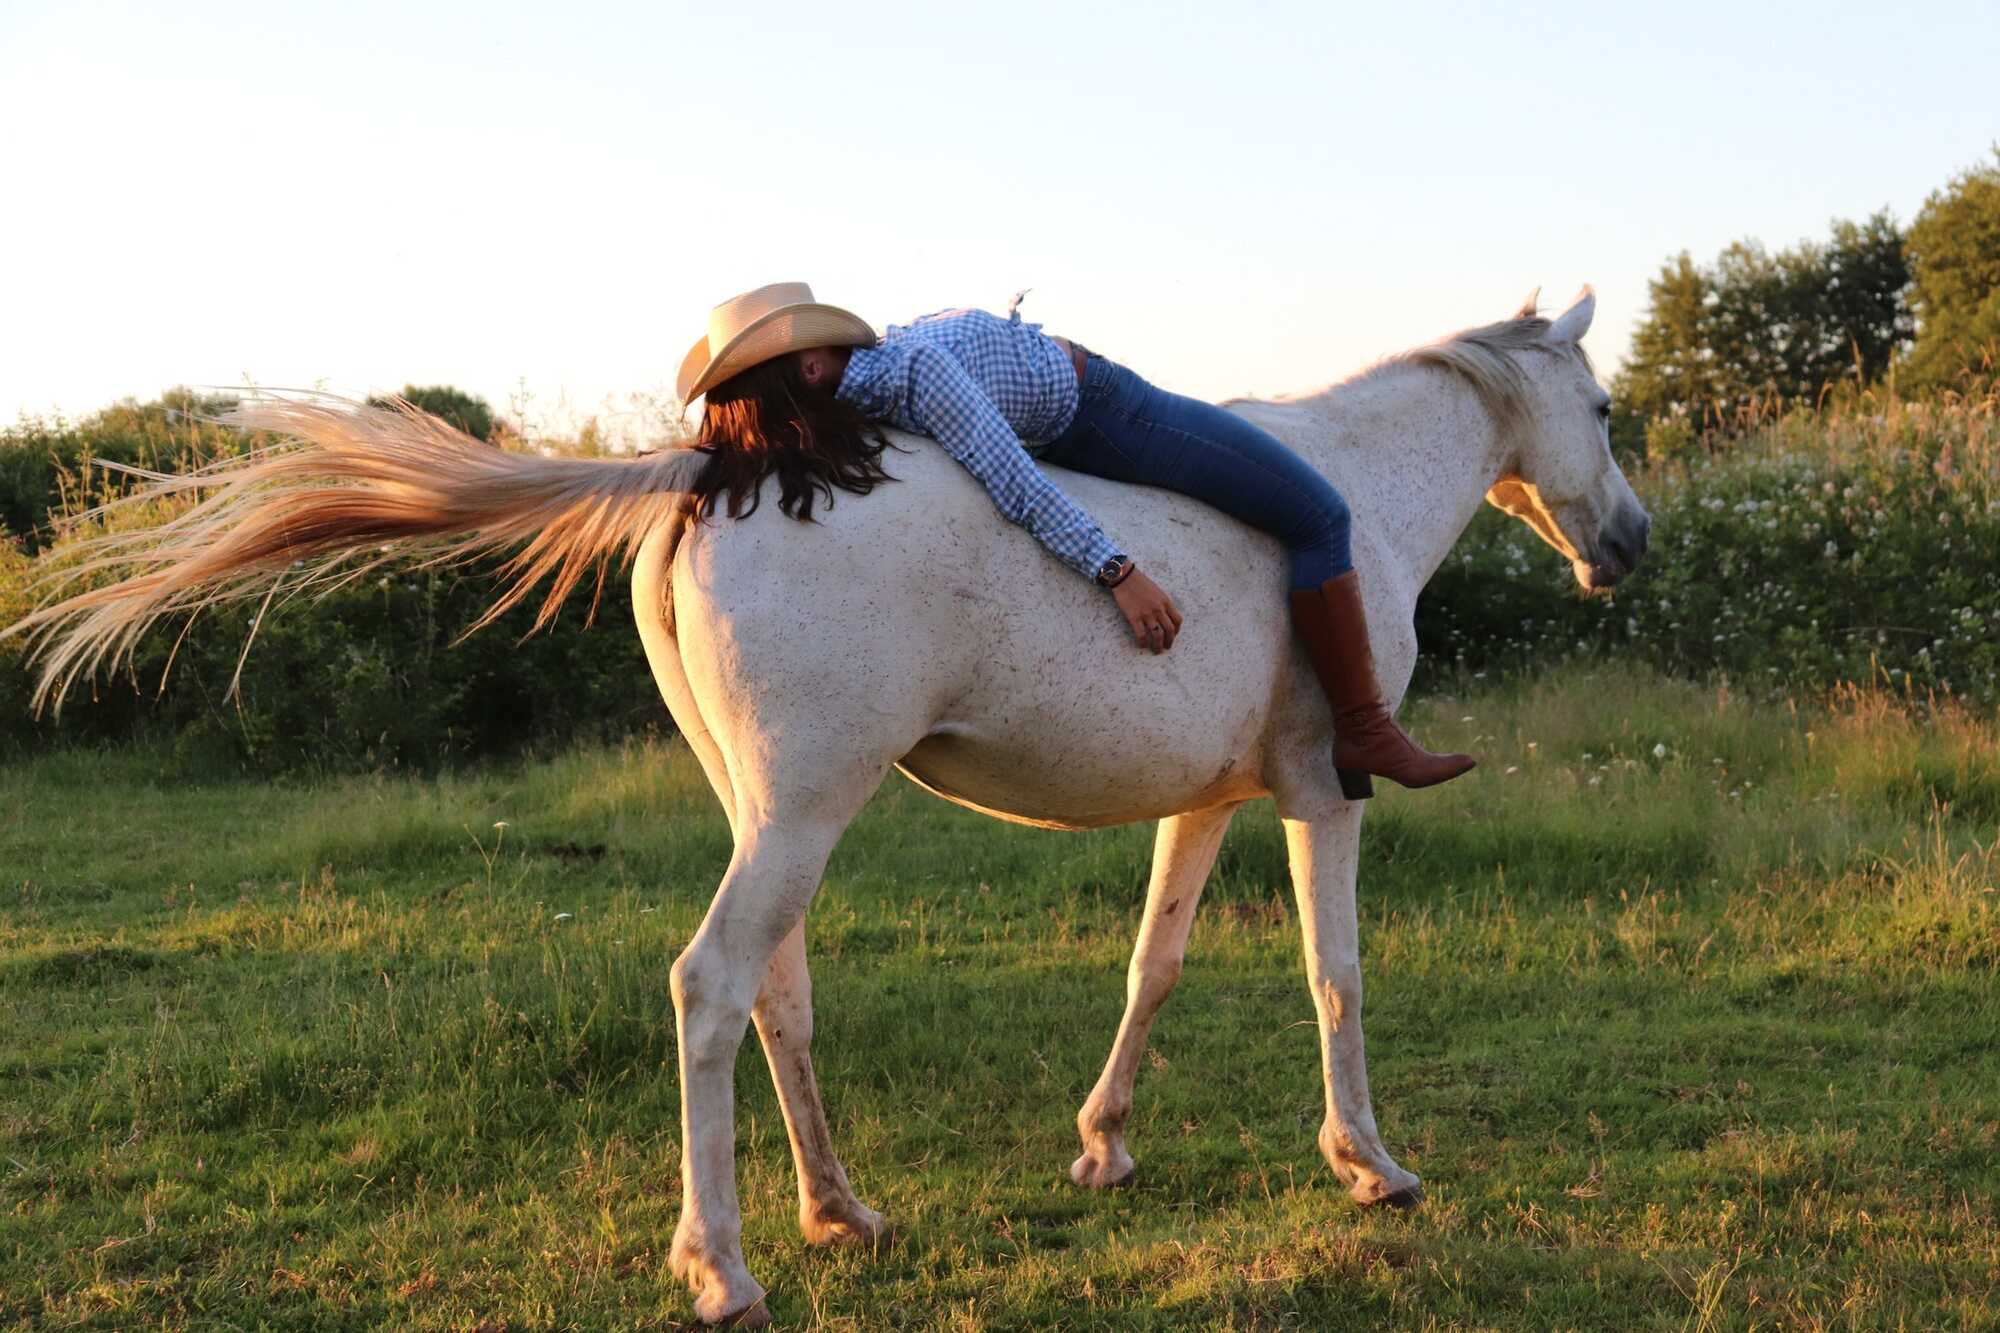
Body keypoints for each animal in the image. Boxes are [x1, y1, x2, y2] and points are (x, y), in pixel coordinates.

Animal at [10, 287, 1647, 1326]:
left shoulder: (1212, 802)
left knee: (776, 997)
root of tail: (714, 473)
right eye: (1606, 404)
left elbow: (1156, 962)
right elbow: (1337, 974)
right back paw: (722, 1270)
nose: (1627, 543)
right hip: (802, 816)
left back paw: (835, 1213)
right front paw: (1371, 1167)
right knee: (712, 983)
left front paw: (1104, 1143)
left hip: (775, 814)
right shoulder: (1325, 791)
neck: (1351, 488)